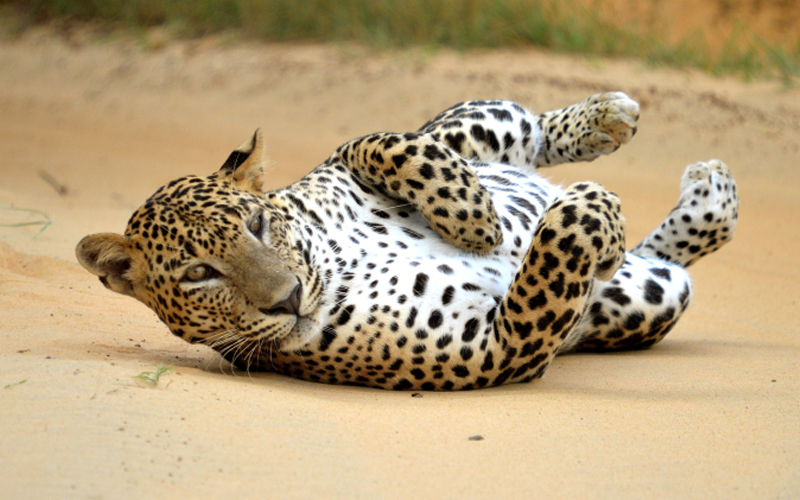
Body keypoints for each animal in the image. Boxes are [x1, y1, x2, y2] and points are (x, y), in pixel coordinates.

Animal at [76, 92, 739, 390]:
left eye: (257, 226)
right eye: (198, 275)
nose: (287, 298)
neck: (336, 262)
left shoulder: (345, 162)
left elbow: (376, 141)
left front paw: (478, 222)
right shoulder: (500, 349)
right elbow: (559, 246)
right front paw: (587, 207)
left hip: (477, 127)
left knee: (508, 128)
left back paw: (607, 120)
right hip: (650, 296)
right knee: (658, 258)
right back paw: (702, 200)